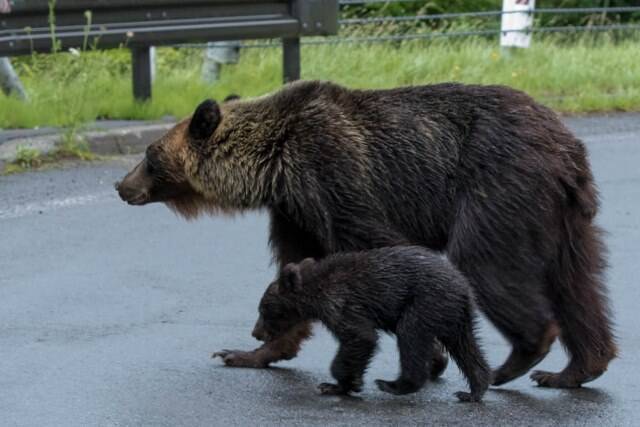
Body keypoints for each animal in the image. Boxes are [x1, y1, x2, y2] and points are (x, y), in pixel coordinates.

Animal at [115, 80, 616, 388]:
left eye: (150, 155)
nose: (121, 185)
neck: (274, 164)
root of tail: (569, 146)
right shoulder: (295, 212)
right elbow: (291, 273)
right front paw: (246, 351)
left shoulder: (334, 177)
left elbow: (379, 249)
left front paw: (430, 357)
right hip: (564, 218)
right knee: (578, 284)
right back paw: (578, 367)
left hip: (499, 187)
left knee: (486, 264)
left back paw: (518, 359)